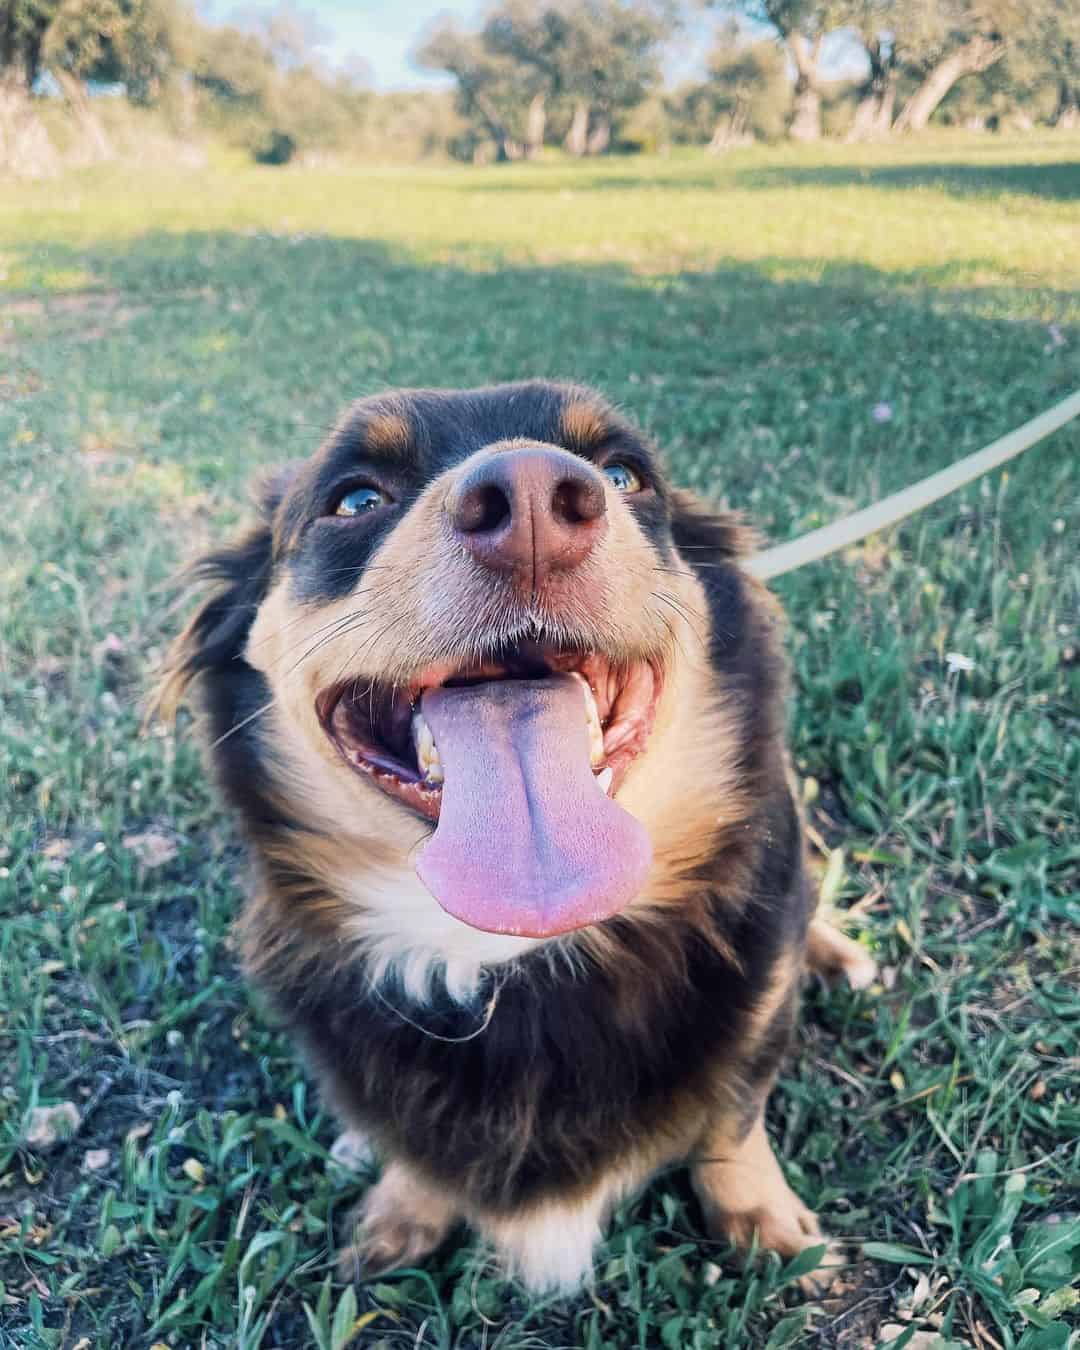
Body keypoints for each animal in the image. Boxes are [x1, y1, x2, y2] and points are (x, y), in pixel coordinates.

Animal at [157, 383, 869, 1296]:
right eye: (353, 499)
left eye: (624, 473)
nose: (532, 500)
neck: (511, 952)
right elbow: (406, 1144)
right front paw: (404, 1208)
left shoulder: (758, 1008)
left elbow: (732, 1119)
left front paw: (762, 1220)